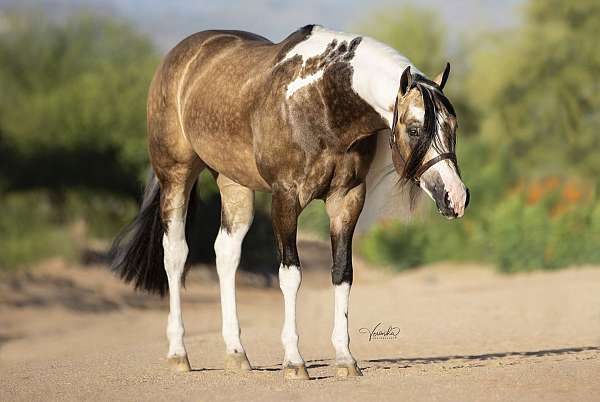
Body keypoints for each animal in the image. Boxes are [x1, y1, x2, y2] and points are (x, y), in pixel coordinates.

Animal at [110, 25, 472, 380]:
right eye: (414, 129)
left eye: (453, 126)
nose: (455, 196)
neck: (322, 102)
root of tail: (181, 56)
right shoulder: (285, 198)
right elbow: (291, 275)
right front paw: (294, 361)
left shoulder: (347, 198)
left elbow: (342, 272)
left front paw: (345, 359)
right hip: (176, 176)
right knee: (175, 254)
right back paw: (178, 353)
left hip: (234, 184)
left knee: (226, 255)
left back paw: (236, 354)